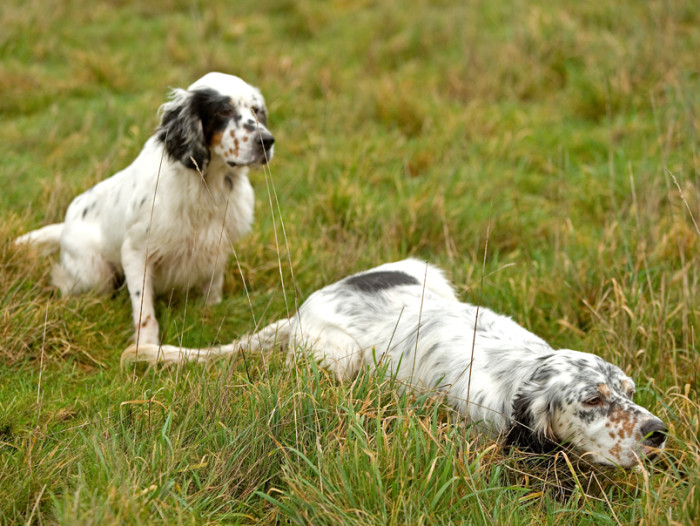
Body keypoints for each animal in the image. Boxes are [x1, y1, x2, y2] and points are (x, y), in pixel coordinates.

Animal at [15, 74, 274, 346]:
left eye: (256, 110)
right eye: (224, 110)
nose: (267, 141)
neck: (206, 183)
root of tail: (64, 226)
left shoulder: (218, 244)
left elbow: (212, 287)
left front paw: (210, 311)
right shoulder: (136, 250)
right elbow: (144, 307)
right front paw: (146, 346)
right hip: (94, 275)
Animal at [121, 260, 668, 470]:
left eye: (630, 391)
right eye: (593, 399)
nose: (659, 432)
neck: (518, 372)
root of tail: (302, 310)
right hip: (343, 356)